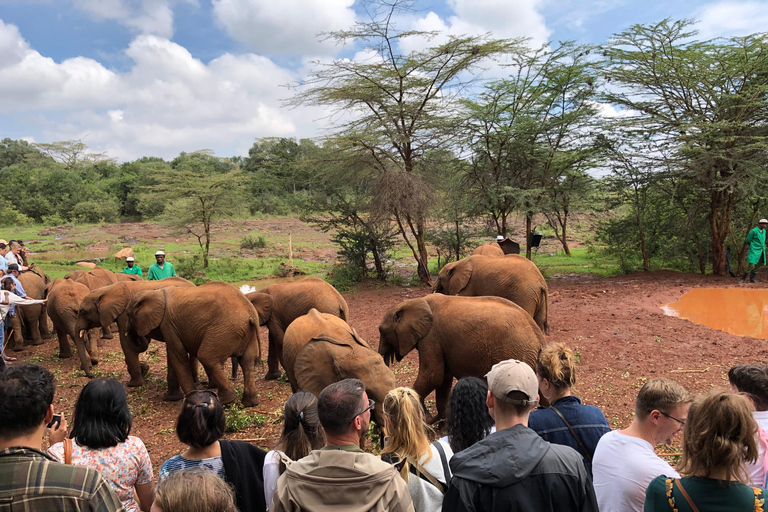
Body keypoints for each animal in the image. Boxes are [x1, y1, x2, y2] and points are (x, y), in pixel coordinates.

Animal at [124, 282, 260, 406]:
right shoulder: (170, 327)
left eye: (128, 315)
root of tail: (250, 313)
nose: (145, 366)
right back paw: (250, 403)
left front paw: (190, 398)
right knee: (247, 361)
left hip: (225, 329)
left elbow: (178, 356)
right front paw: (170, 398)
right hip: (246, 332)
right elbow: (173, 356)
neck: (156, 292)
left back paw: (225, 400)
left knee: (207, 358)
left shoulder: (168, 324)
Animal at [378, 294, 544, 422]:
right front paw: (441, 422)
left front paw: (426, 419)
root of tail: (538, 335)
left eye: (382, 331)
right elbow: (443, 379)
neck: (415, 301)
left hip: (515, 355)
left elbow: (433, 375)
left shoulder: (431, 337)